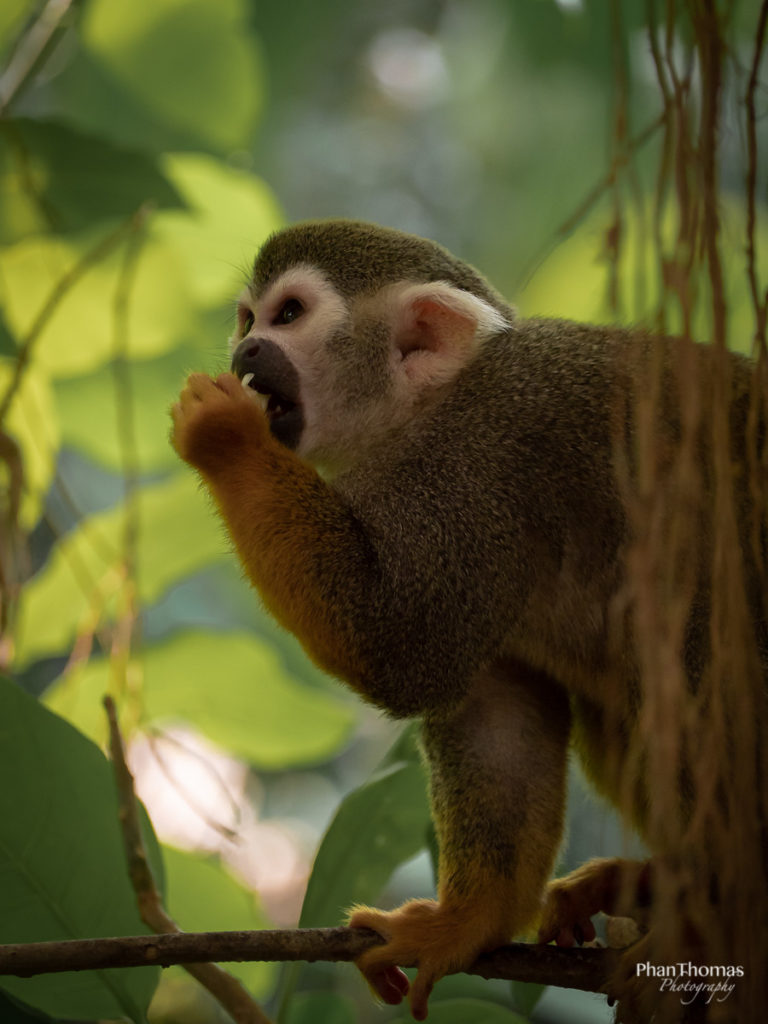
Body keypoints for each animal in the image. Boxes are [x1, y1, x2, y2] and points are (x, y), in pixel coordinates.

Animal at [171, 220, 765, 1019]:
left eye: (288, 315)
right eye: (247, 318)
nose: (246, 351)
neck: (428, 412)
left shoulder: (481, 466)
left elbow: (404, 646)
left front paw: (226, 437)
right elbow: (495, 713)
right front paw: (466, 923)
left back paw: (709, 916)